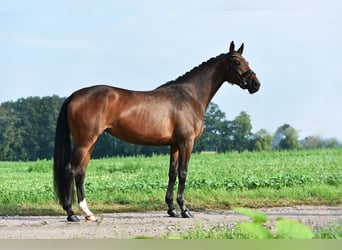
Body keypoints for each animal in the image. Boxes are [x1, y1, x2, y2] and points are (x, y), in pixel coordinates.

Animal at [54, 41, 262, 223]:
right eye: (236, 62)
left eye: (246, 61)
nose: (256, 84)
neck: (189, 96)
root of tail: (74, 95)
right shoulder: (187, 142)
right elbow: (183, 173)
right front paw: (185, 210)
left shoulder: (175, 145)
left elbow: (172, 173)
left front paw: (171, 209)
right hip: (84, 142)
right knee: (70, 170)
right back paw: (71, 213)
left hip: (91, 142)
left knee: (81, 173)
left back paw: (88, 213)